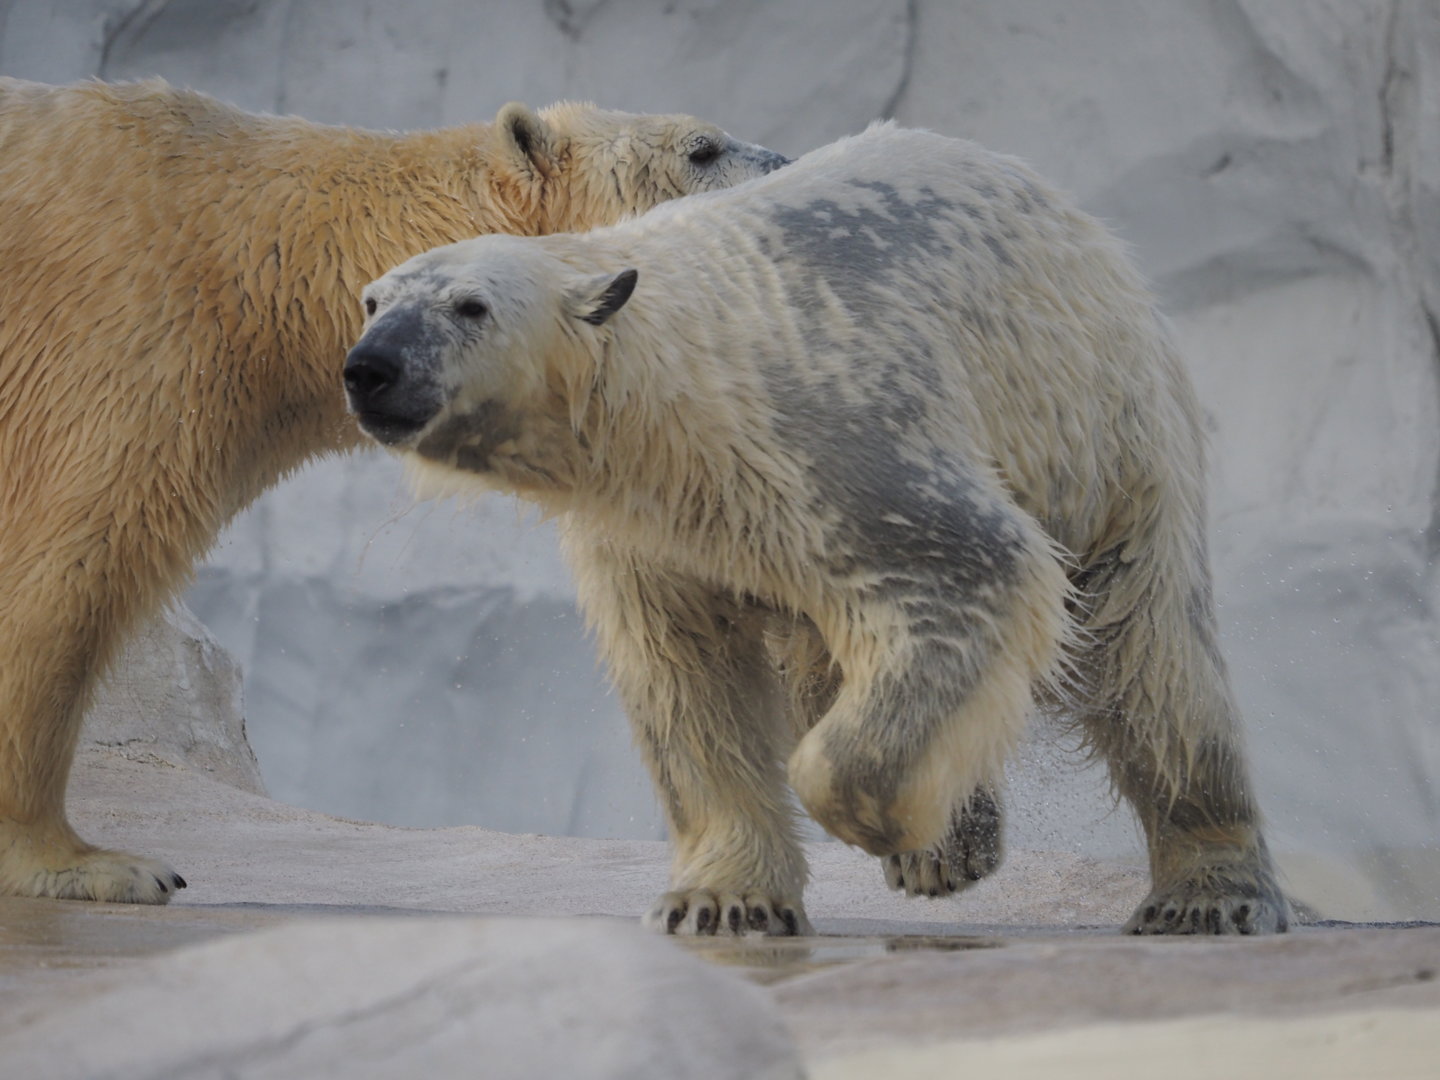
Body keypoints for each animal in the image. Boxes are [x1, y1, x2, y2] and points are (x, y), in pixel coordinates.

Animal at [0, 75, 788, 904]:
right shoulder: (121, 351)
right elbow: (59, 576)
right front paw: (88, 863)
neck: (269, 259)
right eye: (701, 148)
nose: (793, 169)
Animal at [343, 121, 1291, 937]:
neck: (682, 384)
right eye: (370, 299)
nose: (370, 369)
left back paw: (1203, 893)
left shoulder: (827, 431)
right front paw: (722, 899)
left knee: (1153, 666)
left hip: (1105, 433)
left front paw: (892, 824)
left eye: (470, 307)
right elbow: (688, 690)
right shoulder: (647, 533)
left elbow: (967, 572)